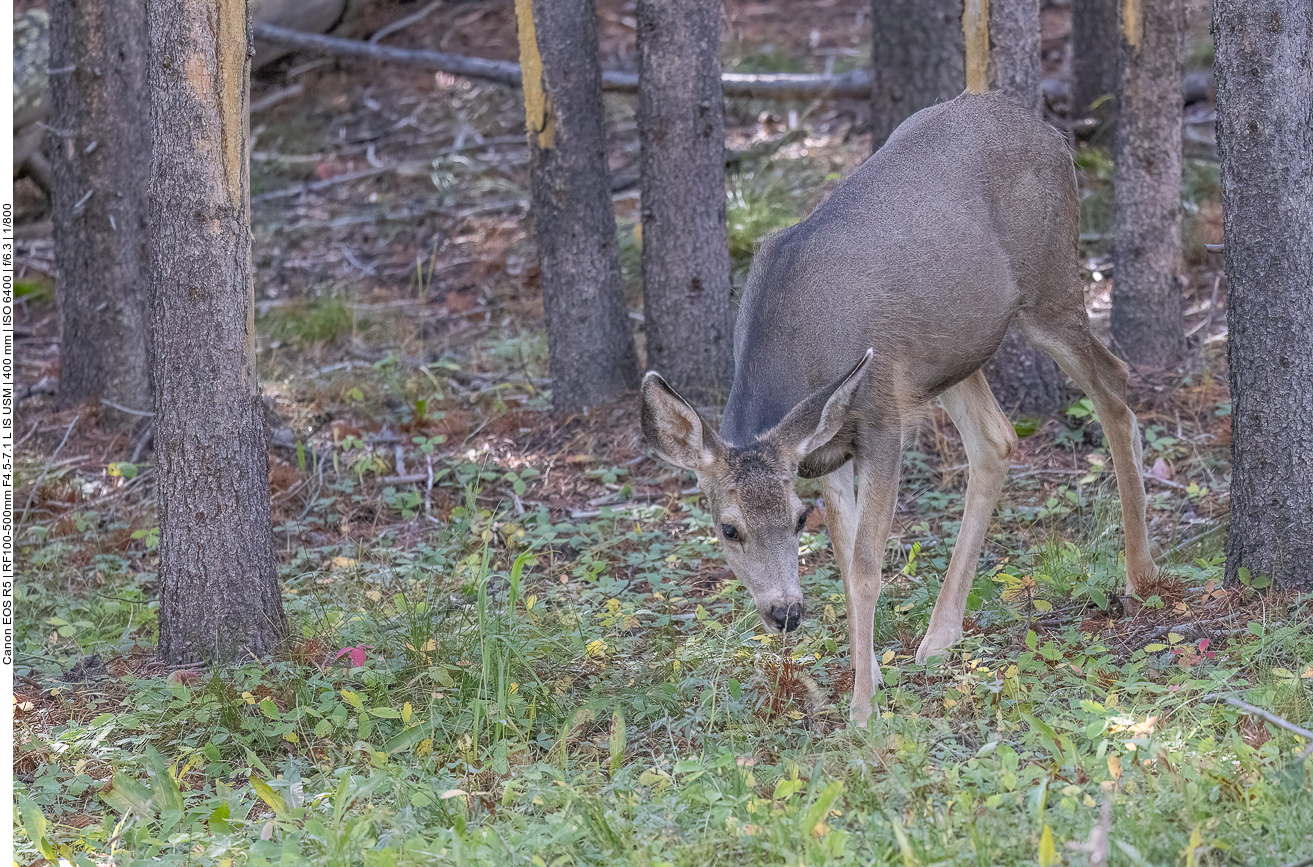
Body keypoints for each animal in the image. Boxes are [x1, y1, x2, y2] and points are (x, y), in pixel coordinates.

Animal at [643, 89, 1160, 725]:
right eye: (729, 529)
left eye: (795, 519)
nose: (785, 613)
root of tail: (1053, 134)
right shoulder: (824, 447)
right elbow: (845, 561)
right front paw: (868, 674)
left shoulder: (881, 416)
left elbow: (867, 567)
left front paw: (863, 709)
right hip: (952, 350)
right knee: (997, 439)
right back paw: (941, 635)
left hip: (1050, 284)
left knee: (1114, 382)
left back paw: (1139, 575)